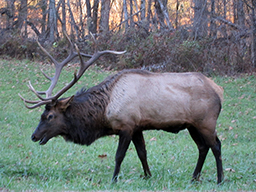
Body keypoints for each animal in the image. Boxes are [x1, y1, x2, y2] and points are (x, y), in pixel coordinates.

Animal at [19, 33, 224, 184]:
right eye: (42, 114)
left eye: (50, 116)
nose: (34, 136)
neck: (104, 111)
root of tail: (219, 90)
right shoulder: (138, 127)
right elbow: (142, 153)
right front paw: (147, 176)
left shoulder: (126, 125)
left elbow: (119, 156)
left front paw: (114, 179)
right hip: (192, 125)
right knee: (202, 147)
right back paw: (194, 177)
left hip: (206, 121)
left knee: (216, 145)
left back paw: (220, 179)